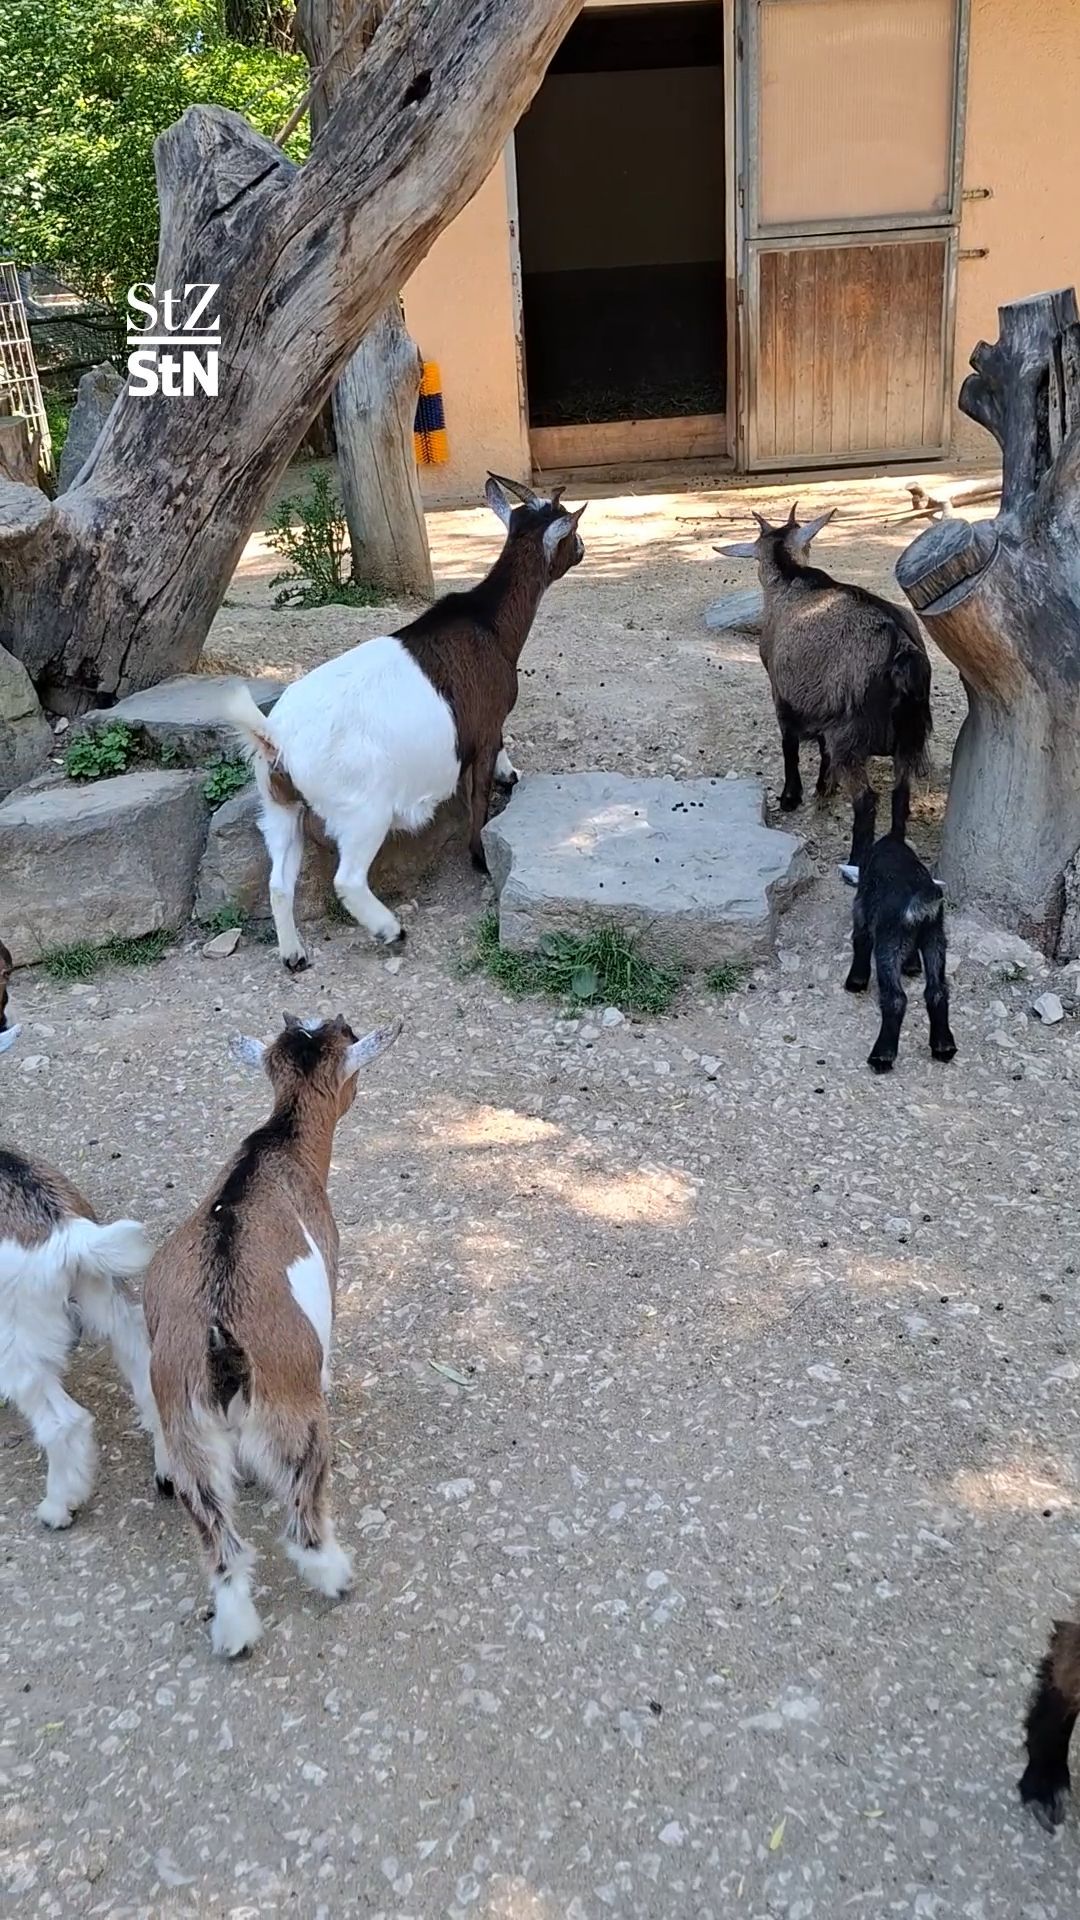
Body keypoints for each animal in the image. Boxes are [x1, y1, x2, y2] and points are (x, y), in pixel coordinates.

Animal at [145, 1012, 400, 1658]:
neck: (277, 1145)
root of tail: (222, 1358)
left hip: (192, 1451)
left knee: (222, 1547)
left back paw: (235, 1631)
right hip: (297, 1424)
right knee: (301, 1522)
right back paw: (335, 1577)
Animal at [221, 475, 586, 971]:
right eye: (570, 530)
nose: (583, 549)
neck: (489, 624)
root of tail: (274, 739)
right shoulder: (486, 724)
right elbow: (479, 792)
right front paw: (480, 855)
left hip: (280, 807)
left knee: (279, 881)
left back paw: (294, 954)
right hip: (362, 811)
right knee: (347, 879)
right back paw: (390, 930)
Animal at [715, 504, 932, 868]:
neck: (791, 580)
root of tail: (901, 649)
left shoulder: (783, 693)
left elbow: (789, 744)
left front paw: (791, 797)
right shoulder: (824, 704)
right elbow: (819, 747)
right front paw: (823, 787)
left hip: (853, 734)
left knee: (867, 799)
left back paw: (856, 861)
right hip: (908, 735)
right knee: (900, 793)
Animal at [843, 792, 956, 1073]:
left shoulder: (862, 909)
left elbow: (860, 942)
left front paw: (856, 981)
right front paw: (912, 965)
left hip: (888, 944)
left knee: (895, 999)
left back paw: (882, 1056)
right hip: (935, 938)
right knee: (937, 991)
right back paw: (943, 1046)